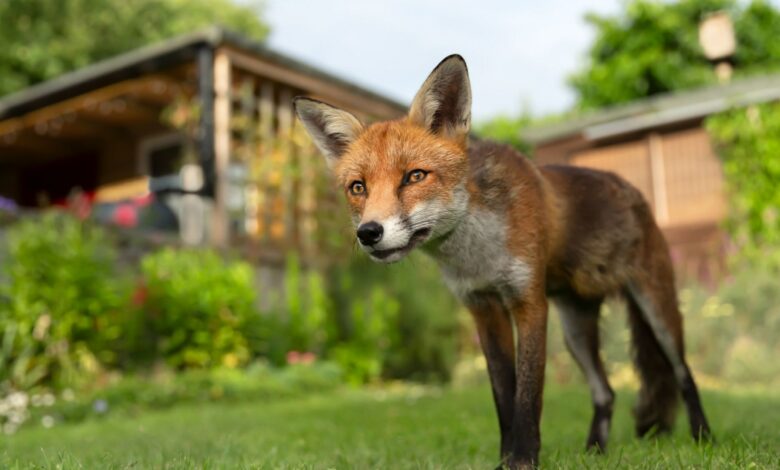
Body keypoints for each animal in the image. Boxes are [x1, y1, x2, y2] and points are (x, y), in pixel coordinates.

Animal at [292, 56, 712, 470]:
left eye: (414, 176)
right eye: (358, 187)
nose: (368, 232)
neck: (479, 255)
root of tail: (633, 191)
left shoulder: (528, 303)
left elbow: (527, 395)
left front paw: (523, 459)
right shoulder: (483, 309)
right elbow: (503, 397)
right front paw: (507, 457)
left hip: (656, 309)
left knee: (684, 374)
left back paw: (703, 438)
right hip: (575, 331)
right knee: (606, 392)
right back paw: (594, 452)